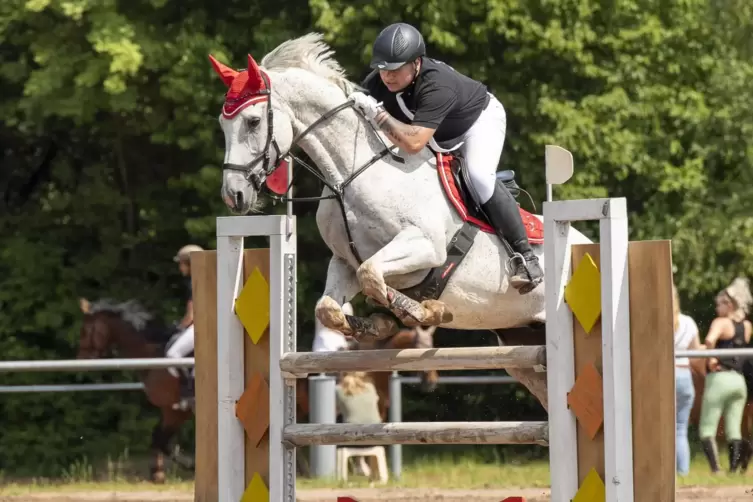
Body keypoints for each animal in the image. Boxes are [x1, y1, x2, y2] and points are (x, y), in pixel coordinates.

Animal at [76, 298, 192, 482]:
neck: (152, 357)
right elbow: (158, 438)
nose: (80, 359)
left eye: (84, 331)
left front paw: (188, 465)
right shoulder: (168, 409)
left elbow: (162, 441)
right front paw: (157, 473)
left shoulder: (178, 410)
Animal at [209, 32, 592, 408]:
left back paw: (526, 267)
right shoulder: (345, 261)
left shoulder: (424, 247)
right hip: (522, 342)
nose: (233, 195)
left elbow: (373, 276)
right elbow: (329, 307)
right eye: (223, 124)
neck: (352, 174)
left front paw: (423, 312)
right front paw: (378, 324)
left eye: (253, 121)